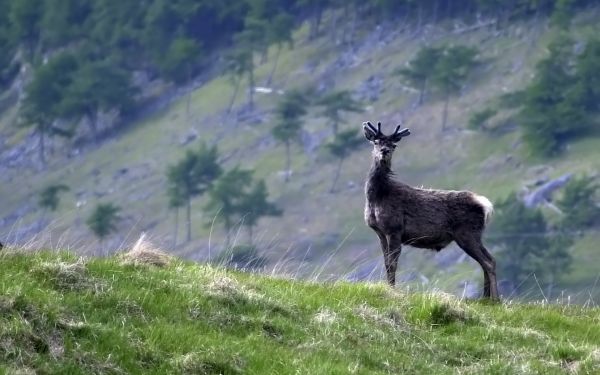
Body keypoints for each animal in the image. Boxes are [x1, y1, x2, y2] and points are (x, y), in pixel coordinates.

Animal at [364, 122, 500, 302]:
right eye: (376, 141)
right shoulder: (380, 232)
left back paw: (496, 299)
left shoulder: (394, 229)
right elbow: (386, 262)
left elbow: (393, 263)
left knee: (488, 262)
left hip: (467, 233)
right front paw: (389, 287)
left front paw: (393, 290)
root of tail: (485, 205)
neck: (377, 197)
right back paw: (486, 298)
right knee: (489, 260)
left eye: (393, 145)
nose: (384, 151)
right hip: (474, 235)